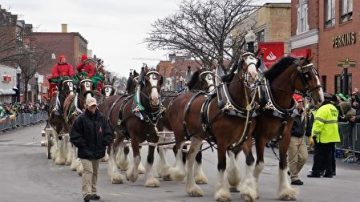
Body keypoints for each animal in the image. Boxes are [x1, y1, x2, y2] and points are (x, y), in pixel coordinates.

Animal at [163, 52, 258, 201]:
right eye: (243, 63)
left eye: (256, 61)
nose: (254, 75)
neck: (235, 105)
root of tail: (175, 99)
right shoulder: (222, 140)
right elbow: (222, 165)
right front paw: (222, 193)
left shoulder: (245, 138)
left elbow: (249, 160)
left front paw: (248, 191)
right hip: (179, 133)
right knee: (176, 149)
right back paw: (177, 172)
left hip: (196, 136)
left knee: (190, 157)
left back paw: (192, 188)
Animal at [238, 55, 324, 202]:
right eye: (307, 75)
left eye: (317, 73)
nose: (320, 98)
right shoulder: (261, 137)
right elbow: (260, 164)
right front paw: (252, 190)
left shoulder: (286, 137)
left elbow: (283, 163)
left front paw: (285, 192)